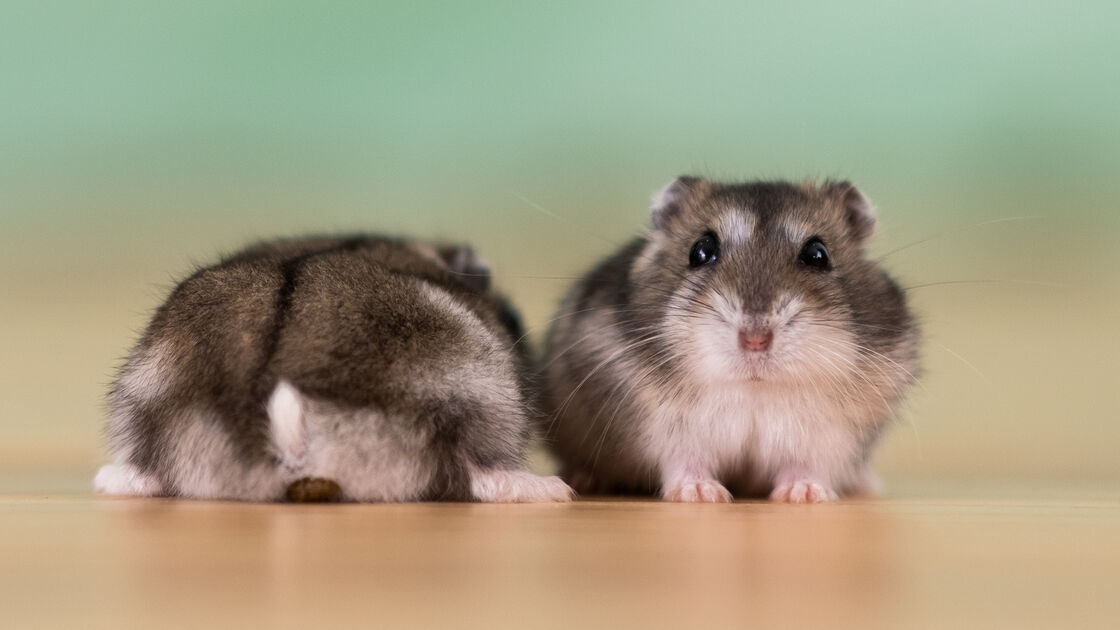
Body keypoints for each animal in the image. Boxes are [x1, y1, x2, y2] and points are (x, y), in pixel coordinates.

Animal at [542, 178, 918, 503]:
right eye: (701, 250)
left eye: (818, 254)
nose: (755, 339)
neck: (753, 391)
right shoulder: (664, 428)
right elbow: (685, 460)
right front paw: (701, 494)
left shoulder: (828, 436)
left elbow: (806, 464)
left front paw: (805, 494)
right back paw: (583, 479)